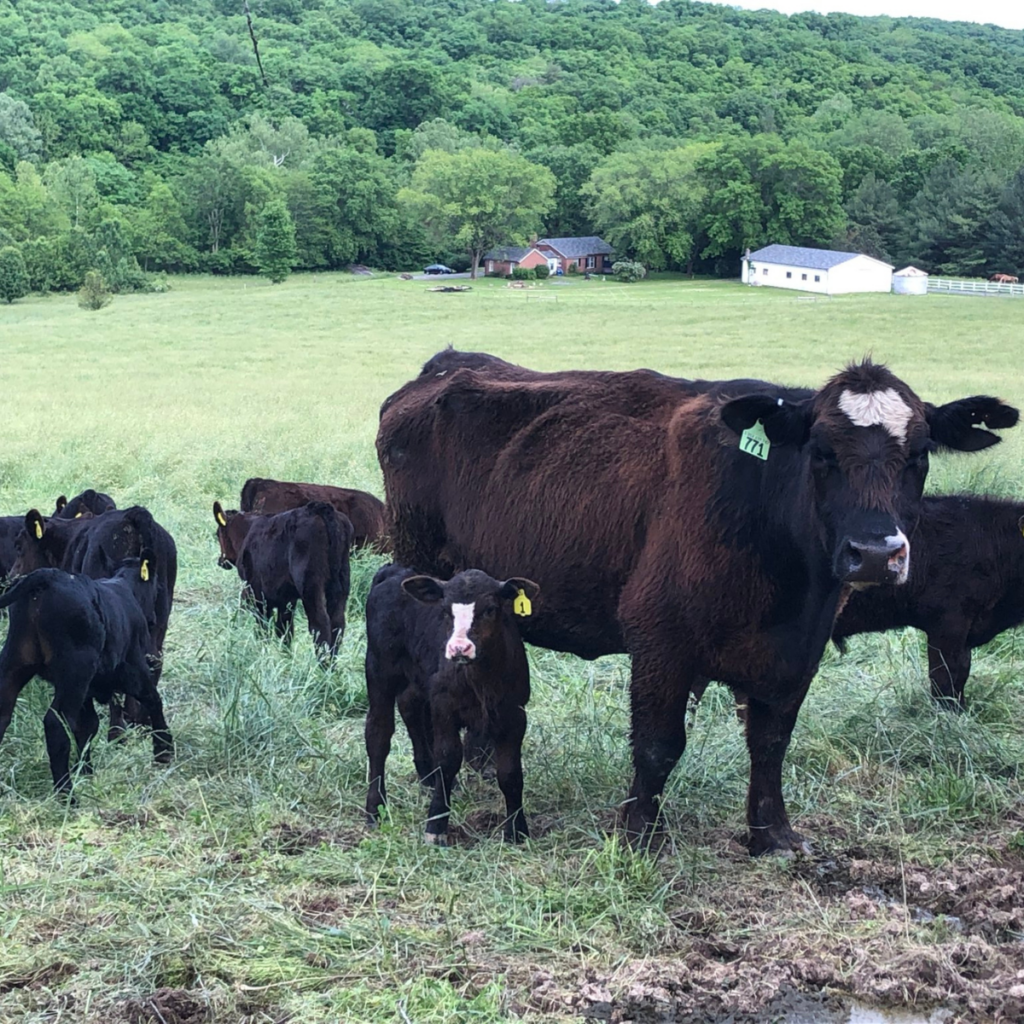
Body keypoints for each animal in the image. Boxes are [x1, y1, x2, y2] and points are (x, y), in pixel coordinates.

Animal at [0, 554, 173, 796]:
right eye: (157, 587)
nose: (154, 618)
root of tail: (47, 576)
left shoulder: (88, 691)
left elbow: (88, 726)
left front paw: (85, 770)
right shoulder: (134, 668)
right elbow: (153, 699)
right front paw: (163, 752)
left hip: (15, 664)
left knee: (3, 714)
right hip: (76, 673)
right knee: (55, 723)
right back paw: (66, 794)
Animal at [213, 500, 353, 662]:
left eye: (218, 534)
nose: (221, 561)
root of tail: (320, 508)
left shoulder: (257, 593)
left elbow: (263, 628)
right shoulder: (286, 597)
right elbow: (284, 630)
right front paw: (286, 658)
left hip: (311, 585)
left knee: (320, 624)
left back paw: (322, 664)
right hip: (342, 582)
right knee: (338, 623)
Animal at [364, 564, 539, 845]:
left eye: (490, 609)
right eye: (446, 611)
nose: (459, 648)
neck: (480, 679)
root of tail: (395, 572)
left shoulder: (514, 714)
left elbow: (510, 772)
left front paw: (516, 830)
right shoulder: (443, 707)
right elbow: (447, 760)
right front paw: (436, 825)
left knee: (409, 705)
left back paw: (427, 778)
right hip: (379, 670)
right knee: (378, 735)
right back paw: (375, 809)